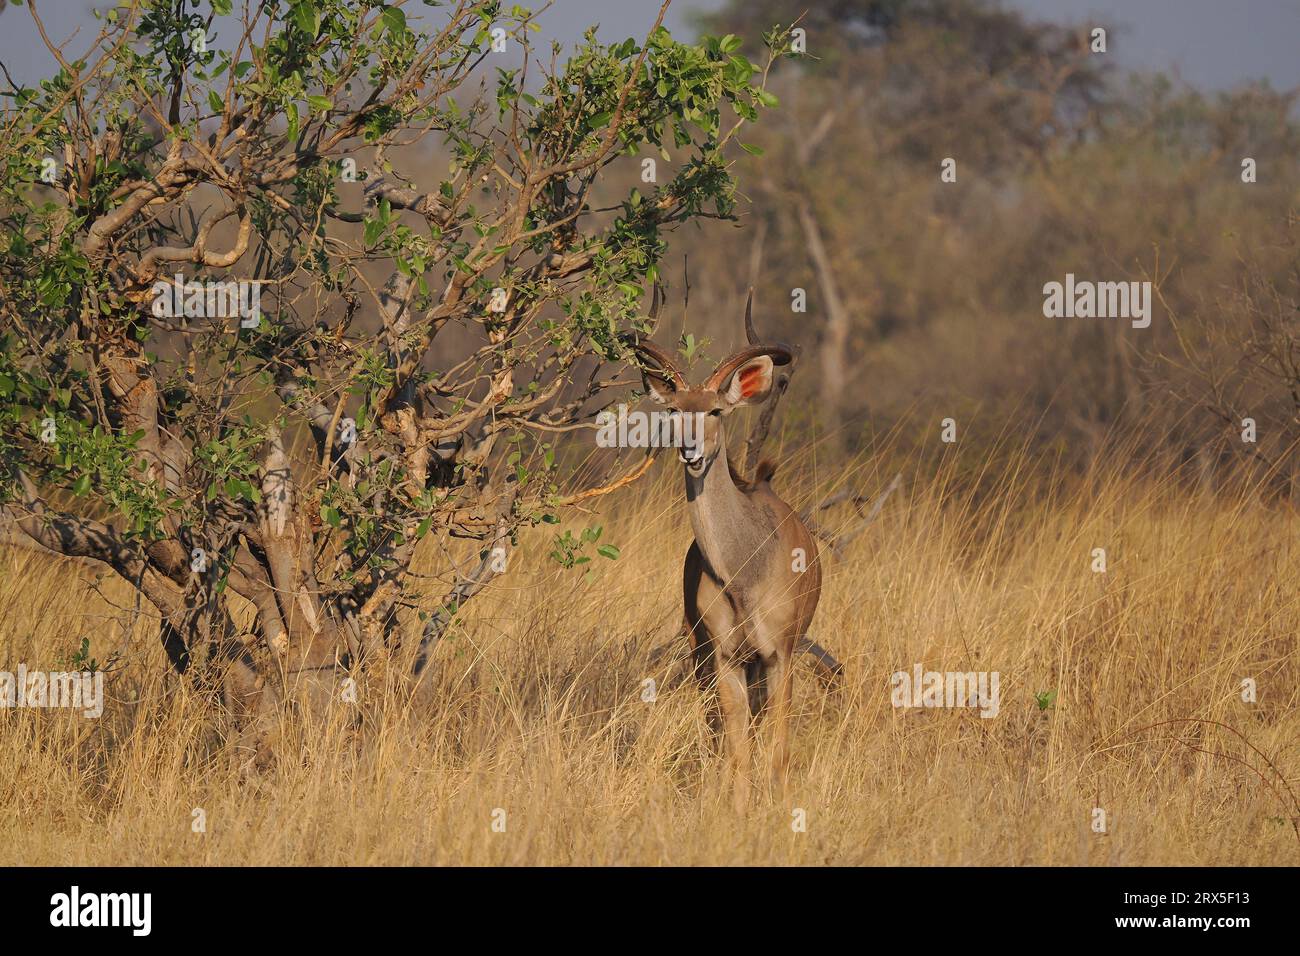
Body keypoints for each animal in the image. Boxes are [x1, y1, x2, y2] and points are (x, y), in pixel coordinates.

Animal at [626, 291, 821, 816]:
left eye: (715, 410)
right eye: (675, 410)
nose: (690, 450)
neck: (742, 573)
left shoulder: (780, 654)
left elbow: (778, 741)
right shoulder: (725, 655)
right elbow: (736, 745)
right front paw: (737, 807)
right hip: (702, 655)